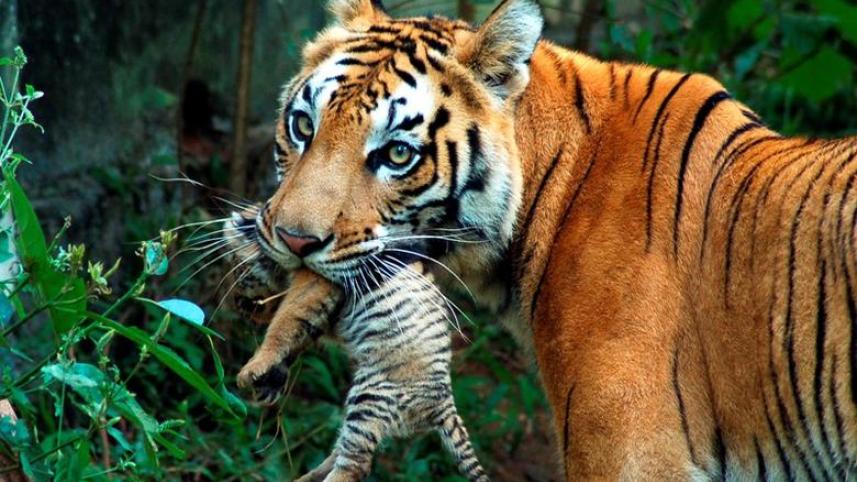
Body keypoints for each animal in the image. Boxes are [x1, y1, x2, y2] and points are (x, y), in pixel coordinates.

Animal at [224, 209, 488, 482]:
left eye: (239, 275)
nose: (245, 311)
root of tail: (442, 403)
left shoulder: (317, 284)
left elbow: (285, 324)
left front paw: (251, 371)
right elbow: (296, 336)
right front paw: (268, 385)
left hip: (371, 399)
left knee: (355, 466)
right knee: (344, 452)